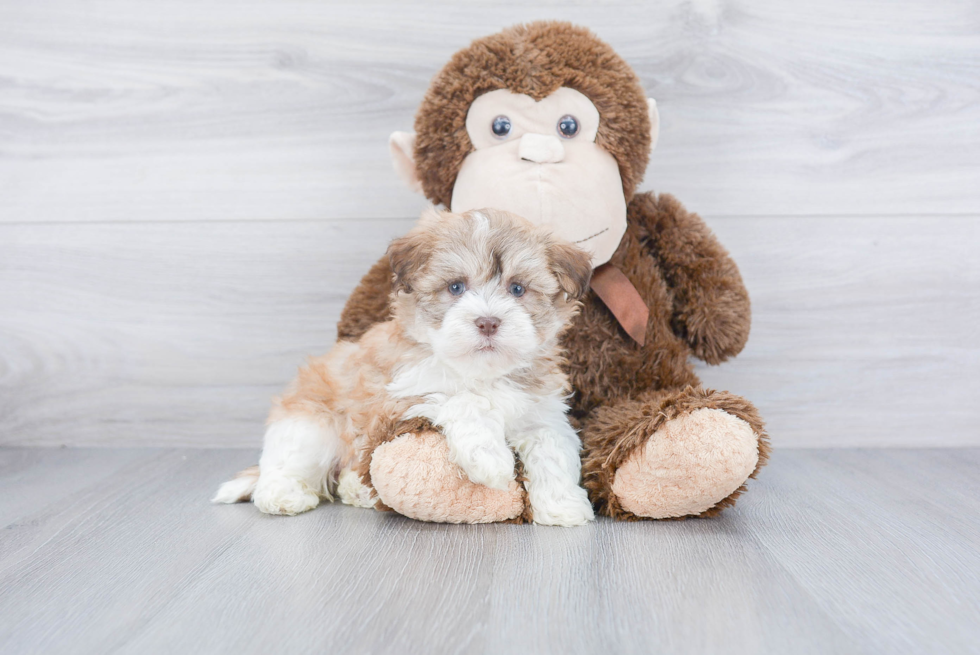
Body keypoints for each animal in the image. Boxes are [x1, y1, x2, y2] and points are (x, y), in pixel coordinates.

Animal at [212, 209, 596, 528]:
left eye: (517, 289)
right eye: (456, 287)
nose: (488, 322)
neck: (479, 372)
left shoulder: (541, 412)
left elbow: (551, 447)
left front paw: (562, 505)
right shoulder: (399, 397)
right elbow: (463, 400)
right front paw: (490, 460)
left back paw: (357, 491)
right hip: (310, 423)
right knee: (289, 461)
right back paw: (282, 495)